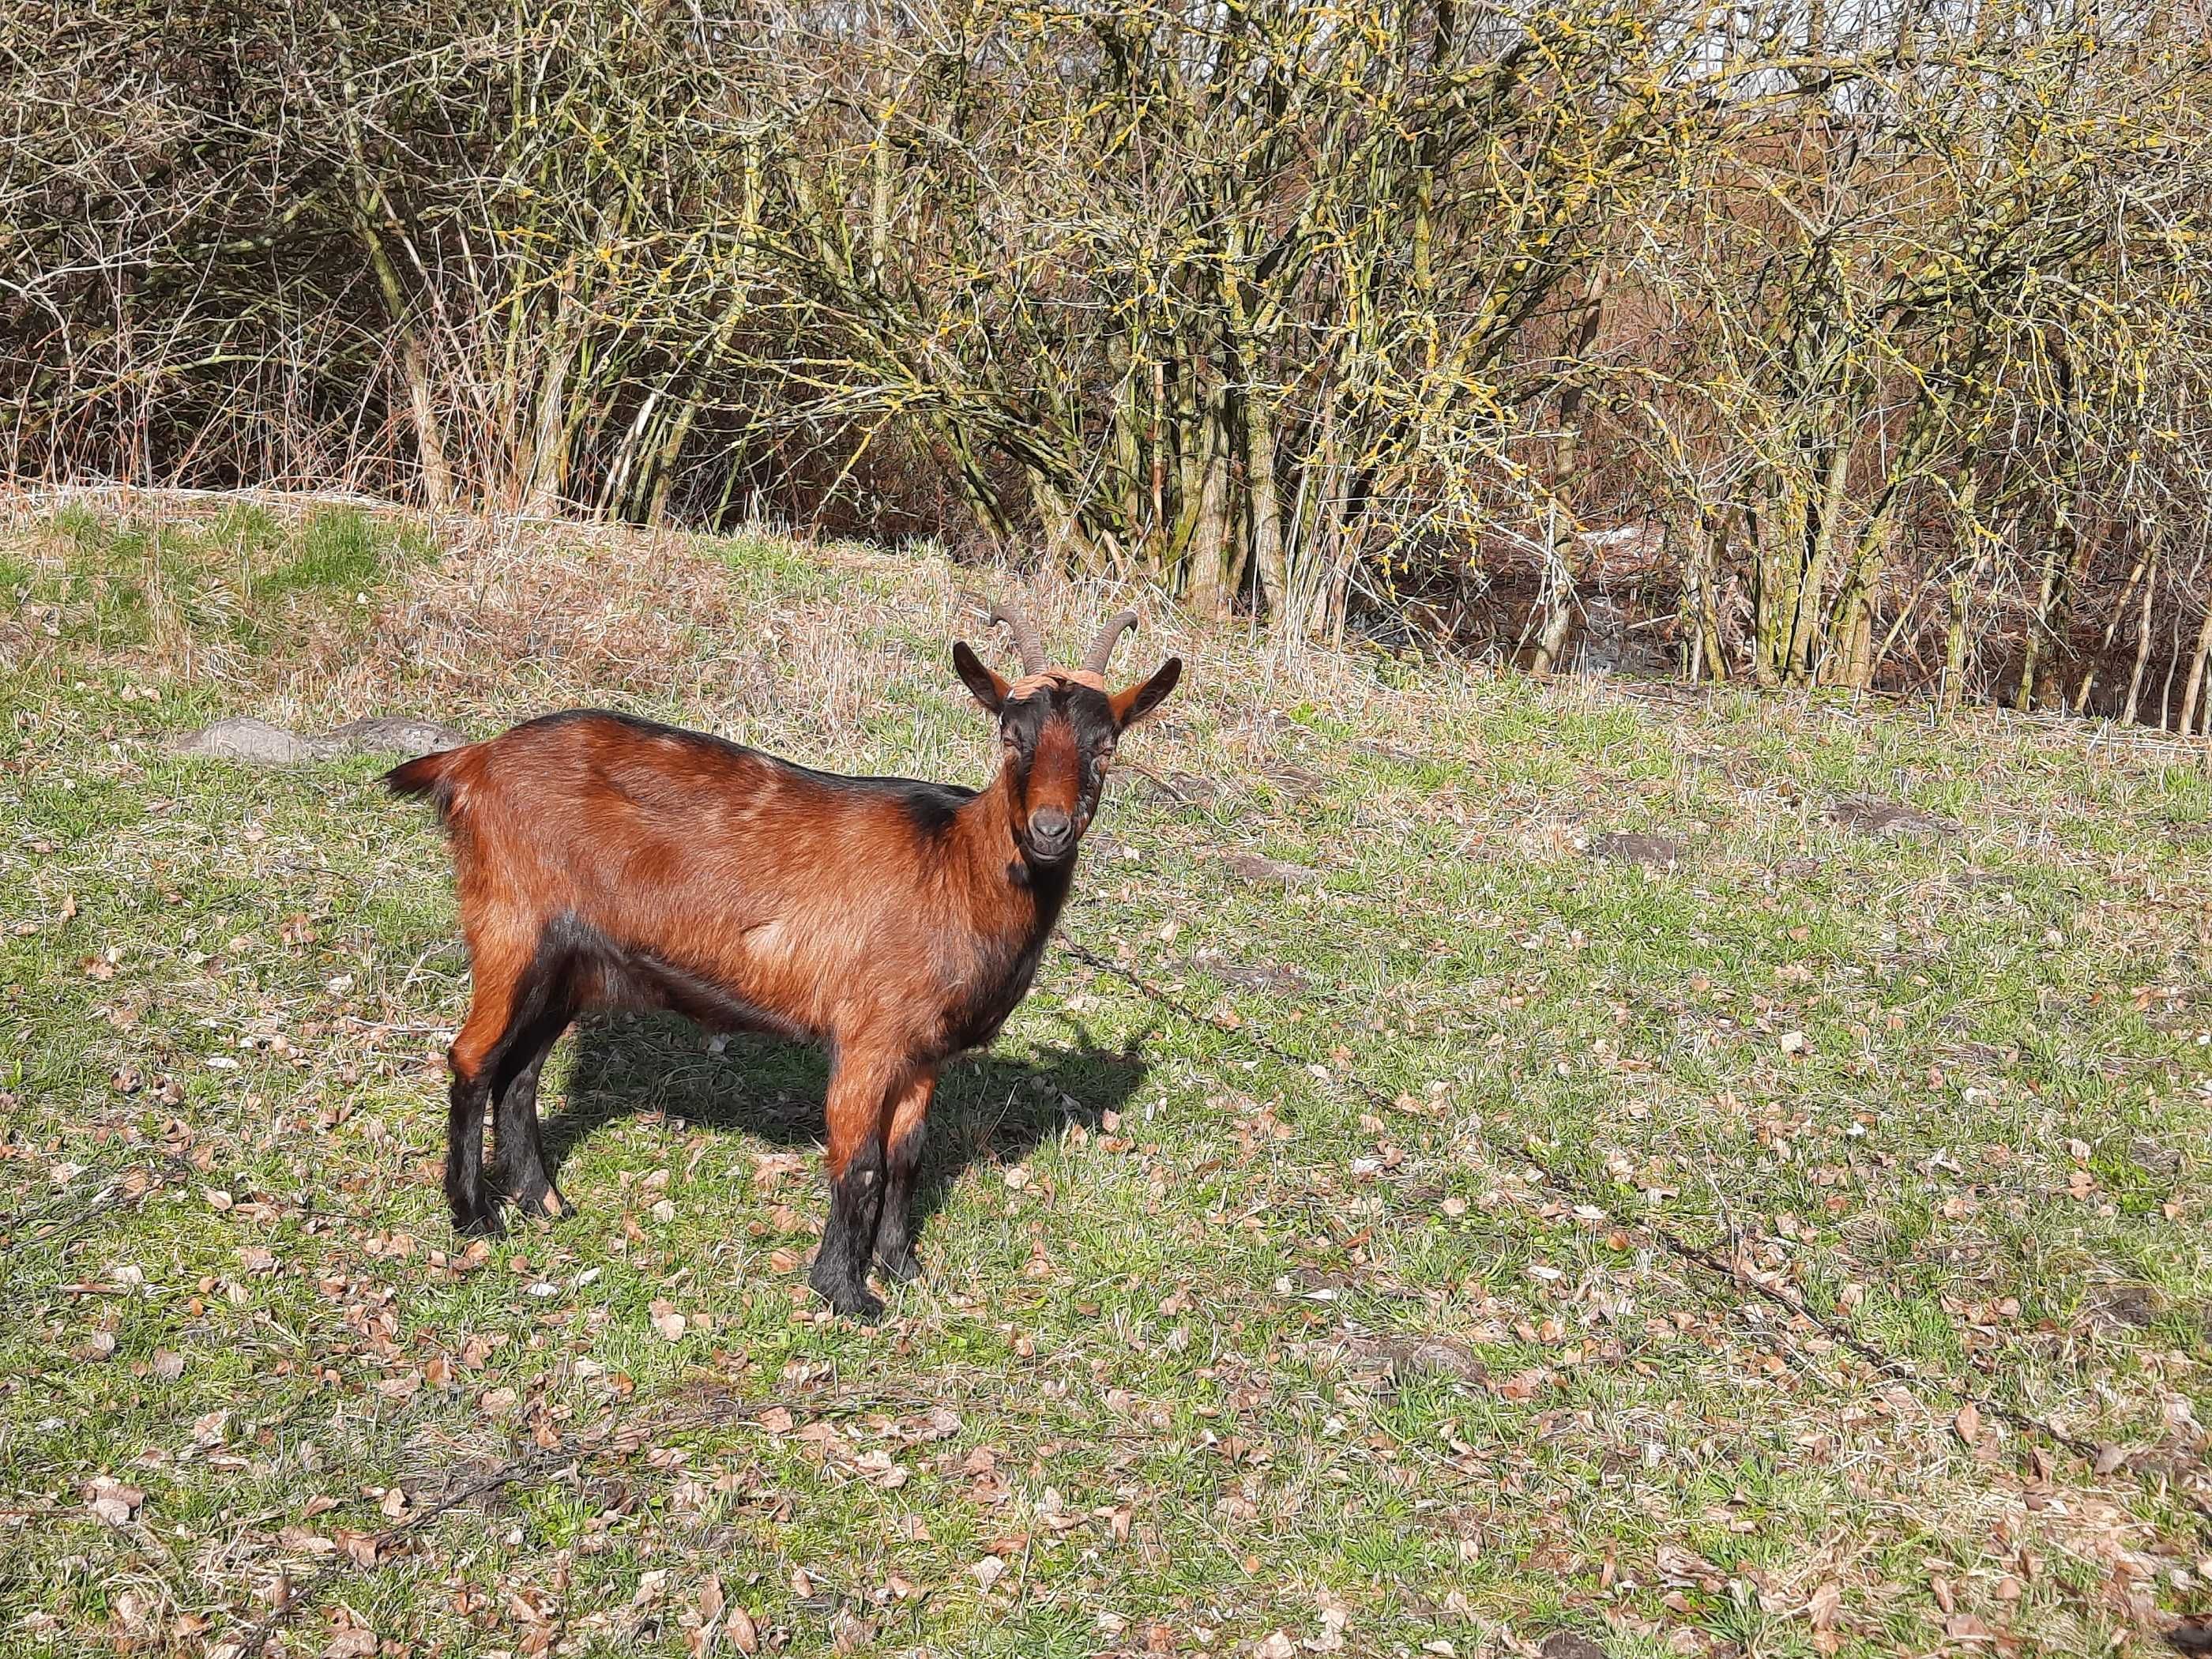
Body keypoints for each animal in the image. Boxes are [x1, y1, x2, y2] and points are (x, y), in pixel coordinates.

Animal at [389, 606, 1185, 1318]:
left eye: (1106, 745)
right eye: (1011, 737)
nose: (1049, 831)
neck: (956, 865)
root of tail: (471, 762)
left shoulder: (923, 1051)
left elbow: (908, 1154)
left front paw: (902, 1267)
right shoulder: (868, 1036)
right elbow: (859, 1162)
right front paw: (845, 1293)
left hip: (572, 964)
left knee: (521, 1071)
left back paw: (544, 1202)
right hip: (510, 926)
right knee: (474, 1057)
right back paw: (475, 1216)